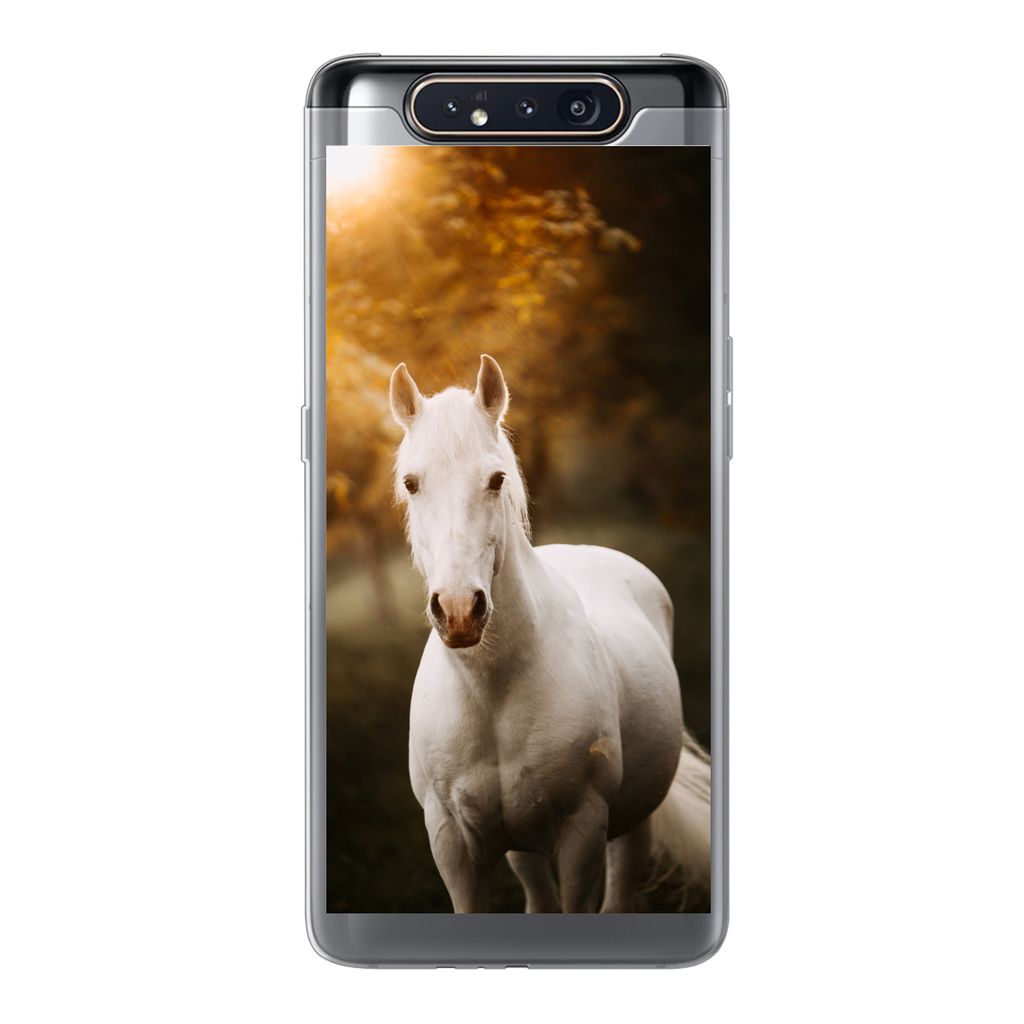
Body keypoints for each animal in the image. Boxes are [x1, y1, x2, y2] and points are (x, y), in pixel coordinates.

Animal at [389, 354, 711, 913]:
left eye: (496, 479)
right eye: (411, 483)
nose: (459, 610)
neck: (493, 692)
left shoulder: (582, 833)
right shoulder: (450, 843)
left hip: (633, 822)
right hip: (522, 844)